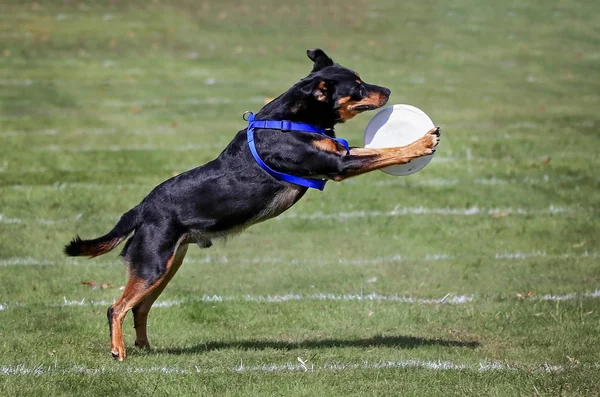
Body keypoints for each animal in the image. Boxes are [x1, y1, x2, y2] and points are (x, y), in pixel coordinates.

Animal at [64, 48, 440, 358]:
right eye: (358, 86)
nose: (388, 91)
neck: (294, 118)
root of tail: (142, 207)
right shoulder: (338, 165)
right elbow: (386, 152)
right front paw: (421, 143)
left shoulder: (338, 157)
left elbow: (377, 151)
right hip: (153, 264)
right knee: (116, 308)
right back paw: (119, 351)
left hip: (167, 265)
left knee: (140, 308)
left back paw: (144, 347)